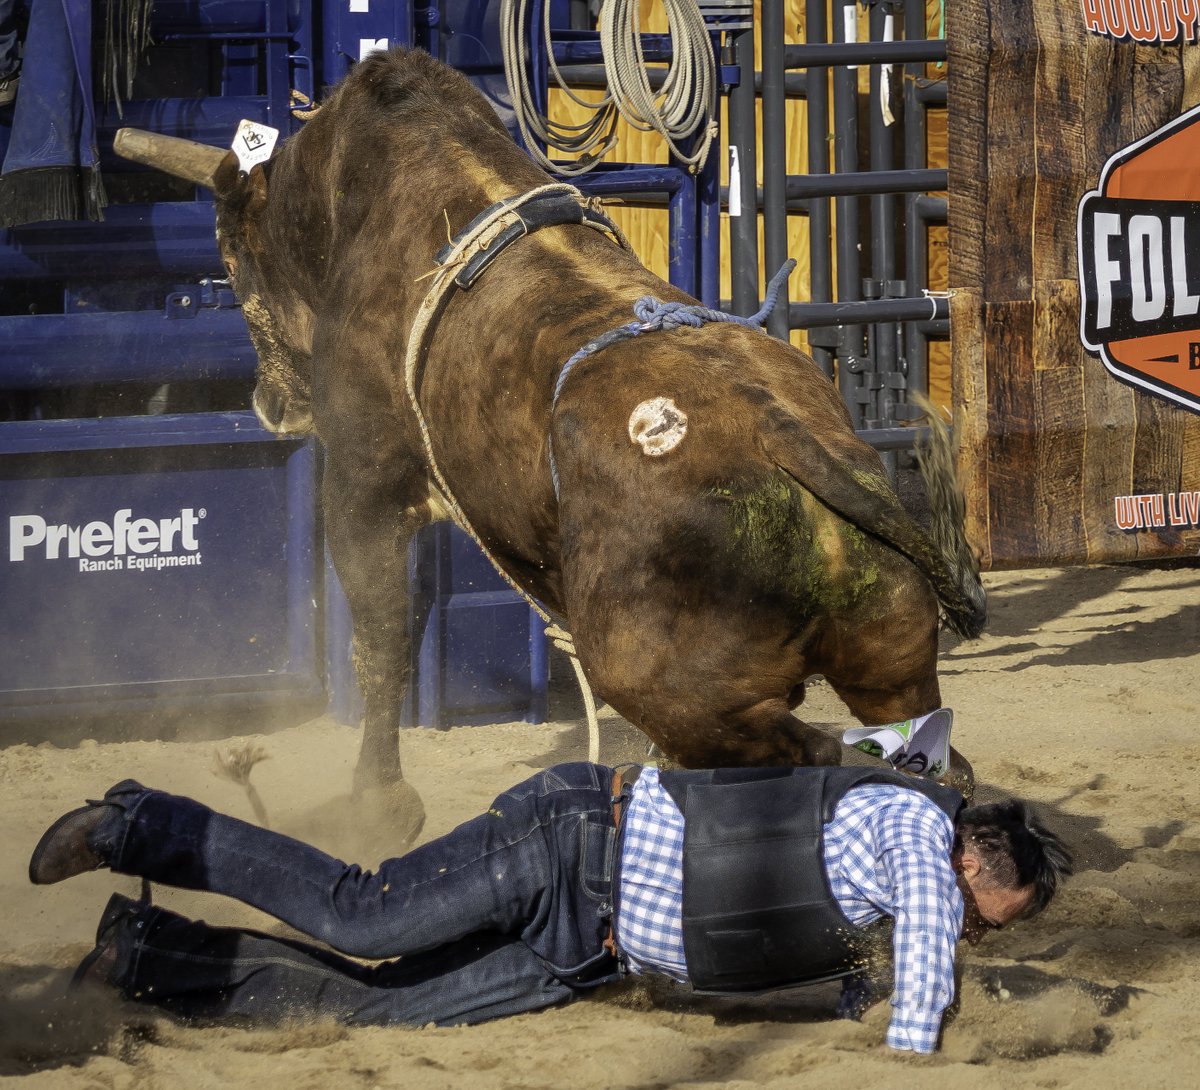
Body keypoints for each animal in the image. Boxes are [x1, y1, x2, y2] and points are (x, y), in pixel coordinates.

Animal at [114, 48, 984, 806]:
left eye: (232, 258)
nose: (270, 402)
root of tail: (784, 438)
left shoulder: (364, 480)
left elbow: (382, 637)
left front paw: (377, 803)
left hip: (672, 687)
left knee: (811, 752)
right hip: (890, 654)